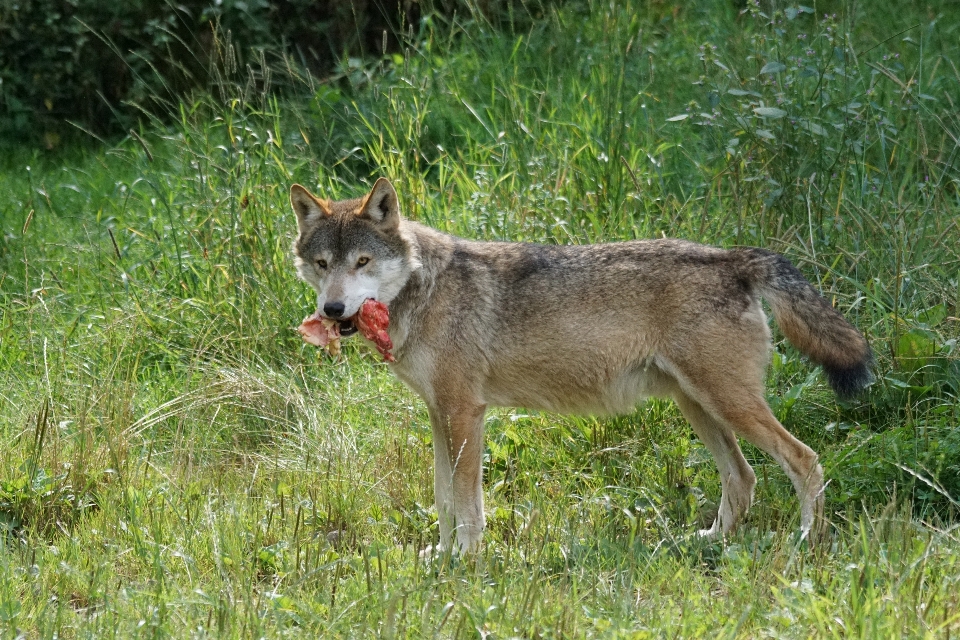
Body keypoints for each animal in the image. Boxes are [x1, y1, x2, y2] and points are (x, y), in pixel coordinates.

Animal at [288, 178, 872, 552]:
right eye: (322, 264)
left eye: (362, 262)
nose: (332, 310)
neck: (421, 291)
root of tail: (733, 257)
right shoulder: (440, 415)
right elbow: (442, 498)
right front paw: (442, 557)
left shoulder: (464, 414)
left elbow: (467, 505)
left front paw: (466, 562)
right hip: (698, 406)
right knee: (743, 477)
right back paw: (710, 543)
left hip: (728, 405)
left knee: (805, 460)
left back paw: (806, 542)